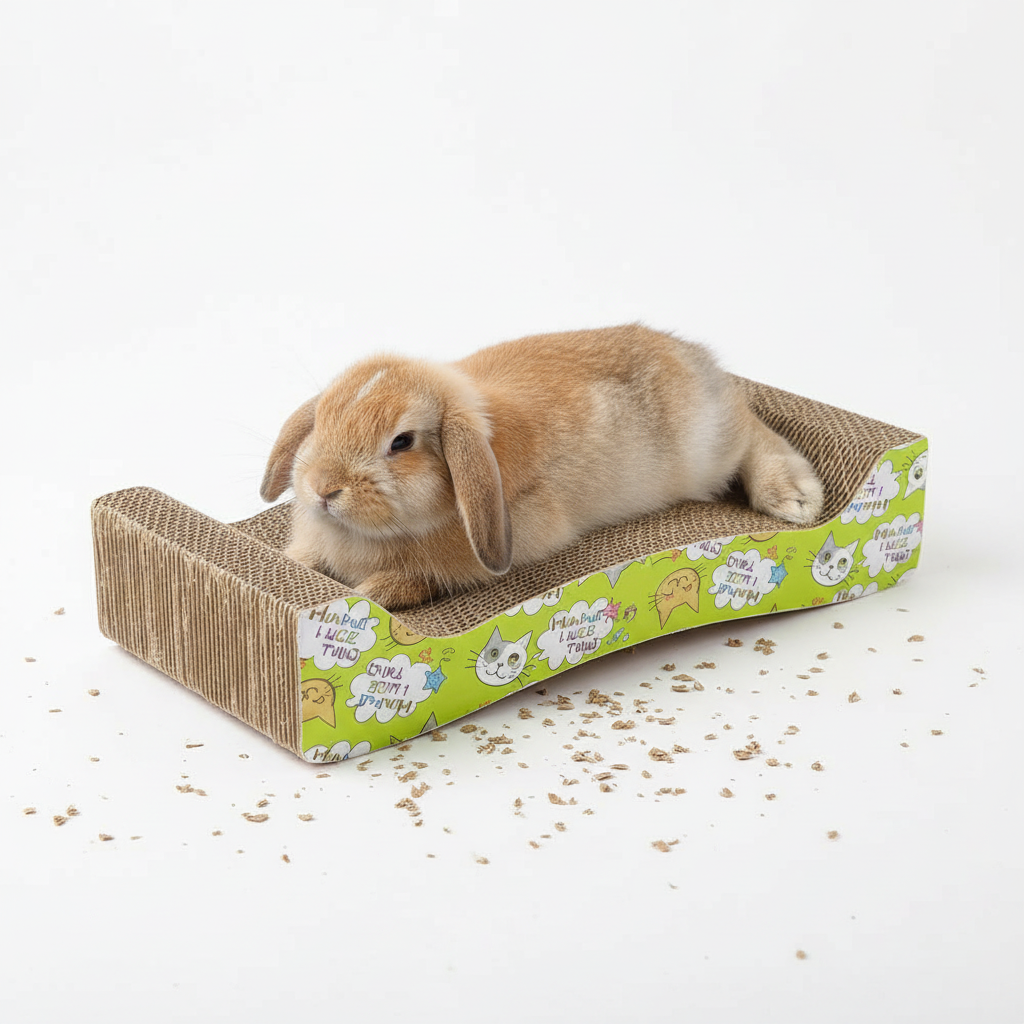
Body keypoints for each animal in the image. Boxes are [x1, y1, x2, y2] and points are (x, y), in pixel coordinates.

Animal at [260, 324, 824, 609]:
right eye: (322, 419)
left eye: (401, 442)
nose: (322, 489)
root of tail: (696, 359)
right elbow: (301, 560)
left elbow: (424, 580)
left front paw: (372, 591)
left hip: (709, 448)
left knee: (752, 429)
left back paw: (795, 498)